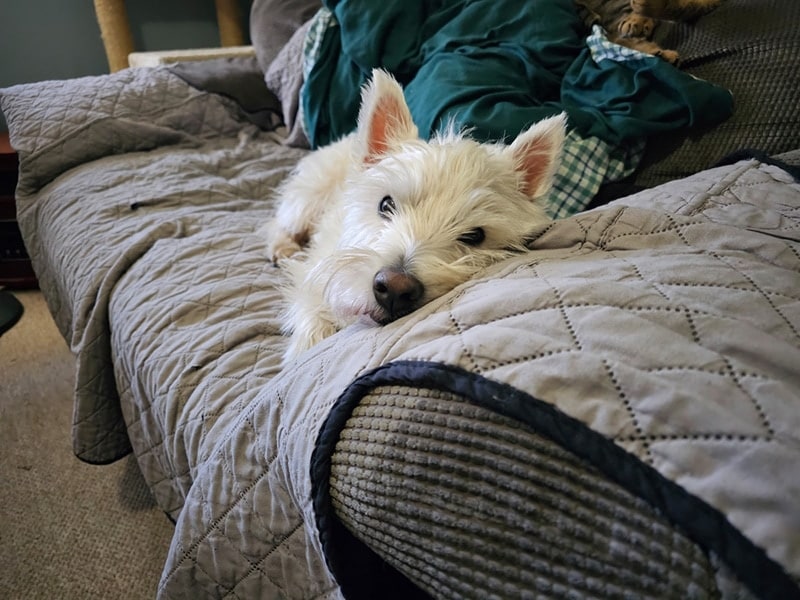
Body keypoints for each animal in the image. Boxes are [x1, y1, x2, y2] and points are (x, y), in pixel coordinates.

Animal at [262, 69, 564, 360]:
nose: (395, 289)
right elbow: (310, 311)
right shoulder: (315, 270)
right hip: (310, 195)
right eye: (385, 205)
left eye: (475, 236)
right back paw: (282, 247)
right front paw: (307, 344)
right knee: (280, 220)